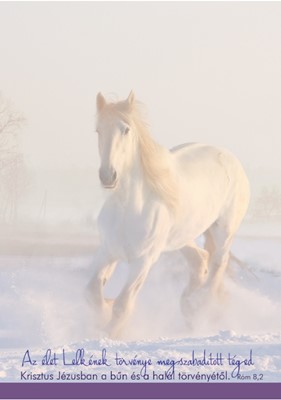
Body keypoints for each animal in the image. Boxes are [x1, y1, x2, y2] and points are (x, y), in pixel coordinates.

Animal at [86, 91, 248, 338]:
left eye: (126, 130)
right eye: (98, 130)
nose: (108, 176)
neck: (128, 208)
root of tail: (230, 158)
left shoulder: (143, 261)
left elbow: (122, 305)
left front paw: (110, 333)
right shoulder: (107, 251)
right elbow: (93, 292)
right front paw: (104, 312)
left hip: (224, 231)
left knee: (218, 265)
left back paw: (201, 307)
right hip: (181, 238)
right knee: (200, 260)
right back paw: (189, 306)